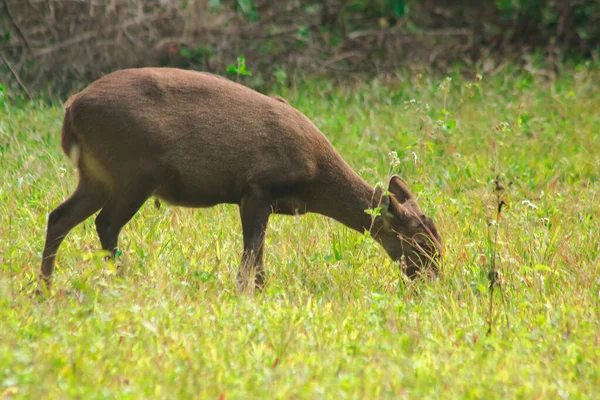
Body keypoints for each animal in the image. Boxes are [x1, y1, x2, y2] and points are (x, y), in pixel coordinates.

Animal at [37, 68, 440, 294]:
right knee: (105, 223)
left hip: (96, 176)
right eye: (421, 242)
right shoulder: (258, 188)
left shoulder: (257, 198)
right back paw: (120, 281)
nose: (435, 278)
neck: (315, 177)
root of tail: (71, 109)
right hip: (134, 171)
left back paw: (44, 289)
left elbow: (256, 252)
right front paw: (249, 294)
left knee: (59, 217)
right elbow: (252, 253)